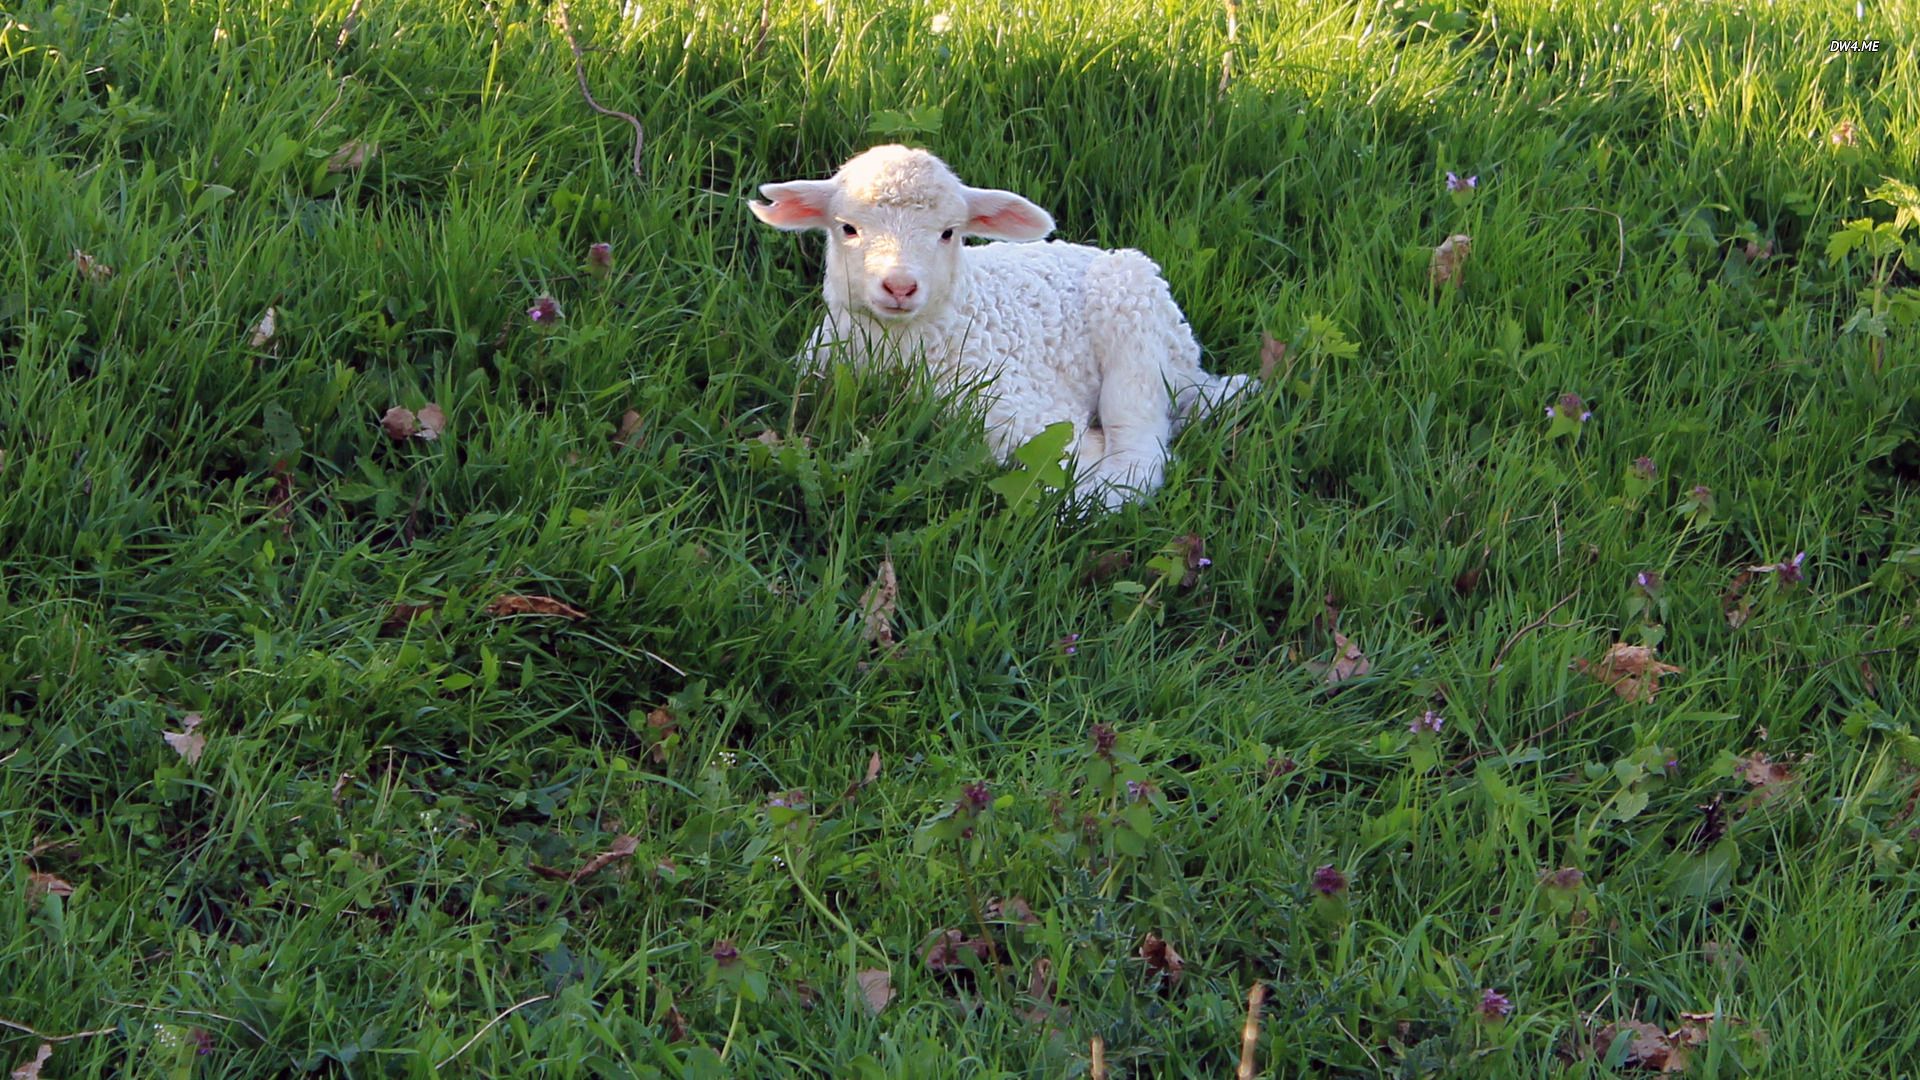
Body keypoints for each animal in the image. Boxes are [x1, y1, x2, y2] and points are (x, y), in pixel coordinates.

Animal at [749, 144, 1254, 510]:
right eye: (848, 228)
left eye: (949, 232)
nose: (900, 286)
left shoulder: (1024, 410)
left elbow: (1063, 471)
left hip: (1134, 318)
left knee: (1140, 450)